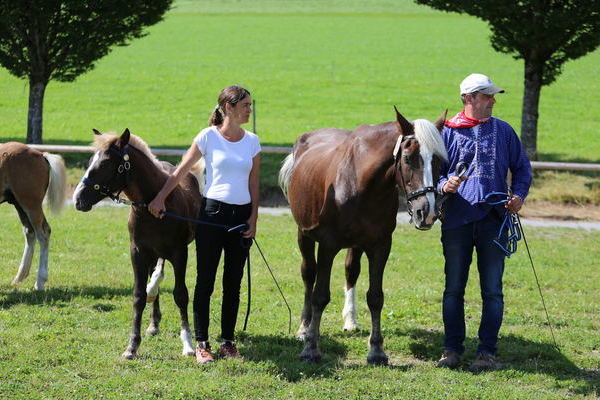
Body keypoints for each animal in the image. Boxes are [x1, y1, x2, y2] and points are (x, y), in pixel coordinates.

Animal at [0, 142, 66, 290]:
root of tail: (41, 155)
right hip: (19, 204)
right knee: (30, 232)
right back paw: (19, 277)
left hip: (30, 204)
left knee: (43, 233)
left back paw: (40, 281)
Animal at [72, 130, 204, 360]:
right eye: (90, 162)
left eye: (105, 164)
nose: (78, 199)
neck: (154, 207)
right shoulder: (138, 253)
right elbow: (138, 296)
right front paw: (132, 346)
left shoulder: (180, 253)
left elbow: (180, 295)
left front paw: (187, 344)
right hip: (152, 255)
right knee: (155, 277)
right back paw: (153, 322)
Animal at [278, 108, 448, 364]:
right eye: (409, 159)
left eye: (438, 160)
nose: (426, 212)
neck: (359, 181)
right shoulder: (327, 245)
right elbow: (320, 295)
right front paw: (311, 347)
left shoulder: (380, 246)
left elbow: (375, 297)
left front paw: (376, 350)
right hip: (304, 235)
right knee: (309, 275)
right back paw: (304, 328)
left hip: (356, 245)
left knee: (351, 271)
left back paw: (350, 320)